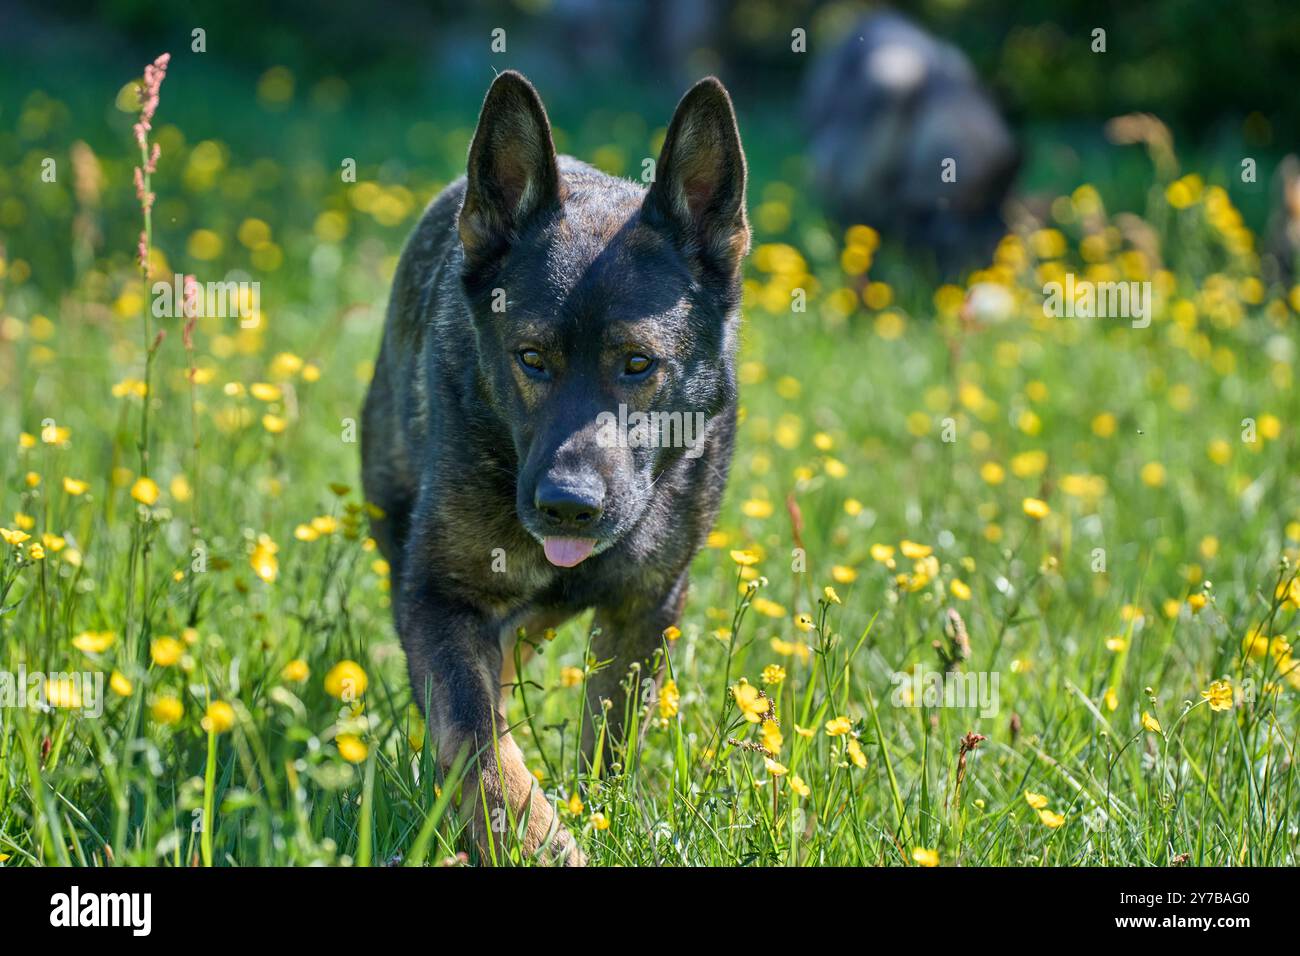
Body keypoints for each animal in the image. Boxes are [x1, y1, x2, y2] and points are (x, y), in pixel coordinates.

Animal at [364, 72, 754, 868]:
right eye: (531, 359)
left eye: (637, 363)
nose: (566, 505)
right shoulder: (438, 599)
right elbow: (478, 742)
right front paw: (536, 836)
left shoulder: (647, 607)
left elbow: (610, 737)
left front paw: (598, 813)